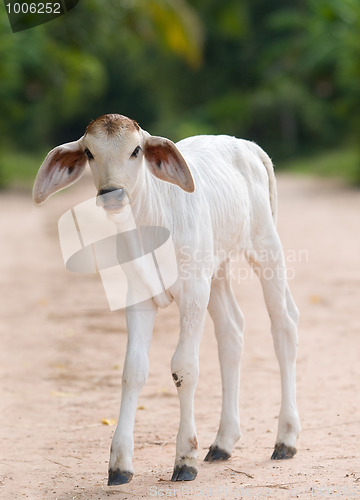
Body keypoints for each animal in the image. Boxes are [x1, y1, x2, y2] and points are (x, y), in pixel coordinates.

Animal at [33, 113, 300, 484]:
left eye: (136, 151)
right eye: (89, 152)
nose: (112, 194)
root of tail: (248, 146)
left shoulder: (193, 293)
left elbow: (183, 367)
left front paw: (185, 458)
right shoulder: (138, 297)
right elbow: (133, 370)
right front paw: (119, 464)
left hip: (265, 248)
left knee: (284, 326)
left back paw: (285, 439)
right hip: (216, 269)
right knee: (231, 332)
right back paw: (223, 442)